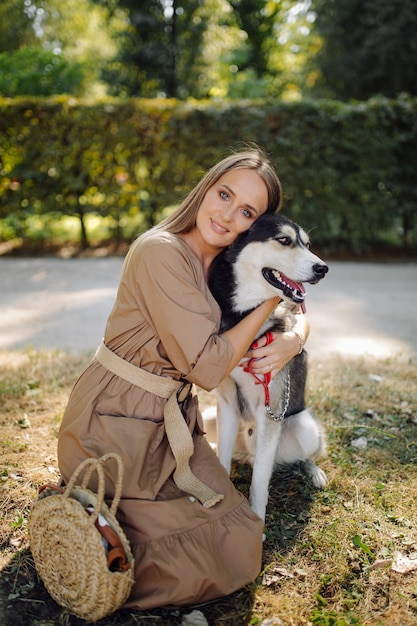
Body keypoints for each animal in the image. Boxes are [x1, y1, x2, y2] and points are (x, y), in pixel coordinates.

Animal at [208, 212, 328, 520]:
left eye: (307, 244)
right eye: (284, 240)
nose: (323, 268)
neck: (245, 314)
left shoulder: (270, 409)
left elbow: (260, 483)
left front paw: (257, 521)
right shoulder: (226, 404)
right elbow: (222, 463)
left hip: (303, 426)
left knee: (303, 455)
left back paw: (314, 472)